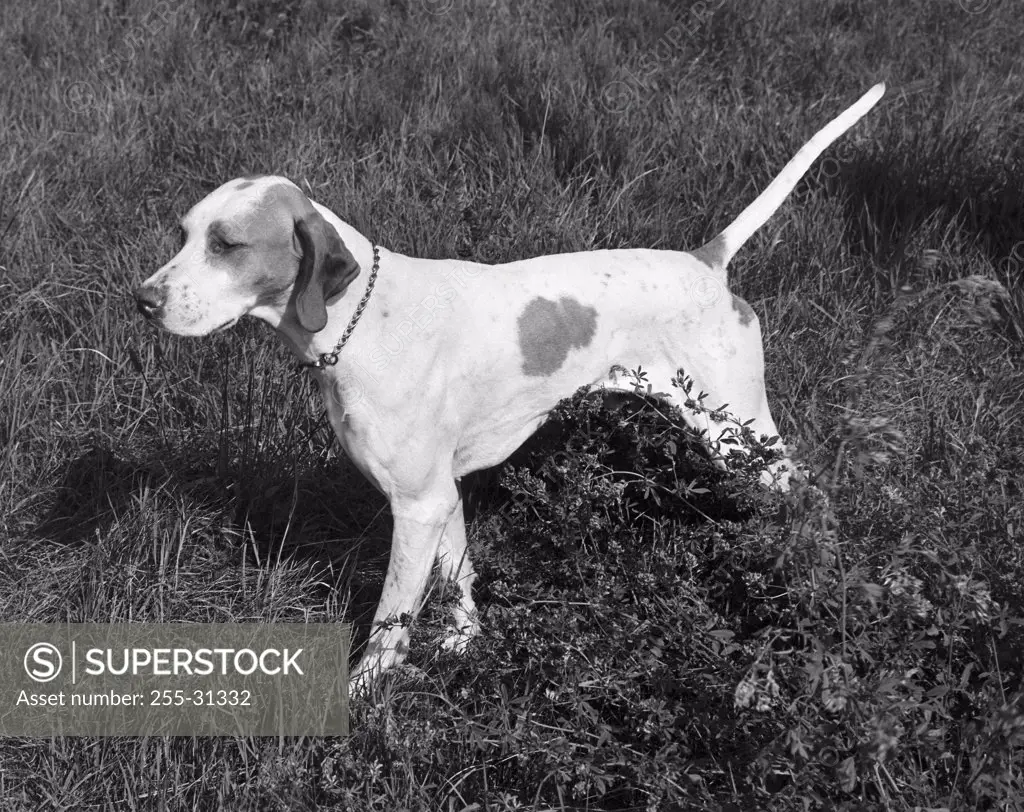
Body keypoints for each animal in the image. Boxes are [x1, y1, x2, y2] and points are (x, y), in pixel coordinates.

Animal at [134, 83, 888, 692]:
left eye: (227, 245)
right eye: (184, 234)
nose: (141, 300)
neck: (362, 319)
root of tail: (705, 263)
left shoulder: (414, 506)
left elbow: (388, 624)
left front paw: (364, 697)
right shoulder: (439, 497)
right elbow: (459, 580)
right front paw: (465, 643)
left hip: (744, 439)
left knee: (812, 498)